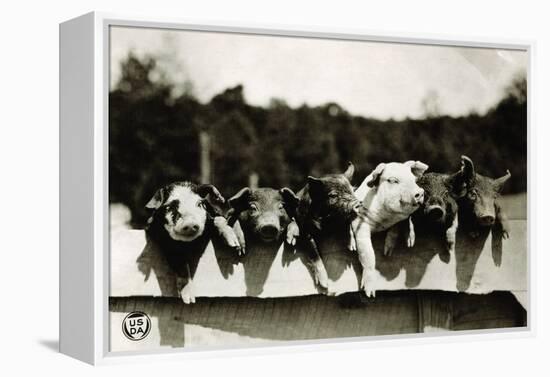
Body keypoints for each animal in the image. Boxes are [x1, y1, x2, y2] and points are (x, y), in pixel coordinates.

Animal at [288, 162, 362, 290]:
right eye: (333, 195)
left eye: (352, 191)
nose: (356, 204)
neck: (327, 222)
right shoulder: (305, 228)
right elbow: (314, 253)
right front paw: (325, 286)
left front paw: (352, 248)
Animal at [354, 160, 432, 296]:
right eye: (393, 180)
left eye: (413, 180)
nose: (420, 192)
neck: (385, 219)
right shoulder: (360, 222)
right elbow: (368, 254)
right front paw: (370, 294)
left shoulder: (399, 220)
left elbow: (396, 229)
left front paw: (388, 253)